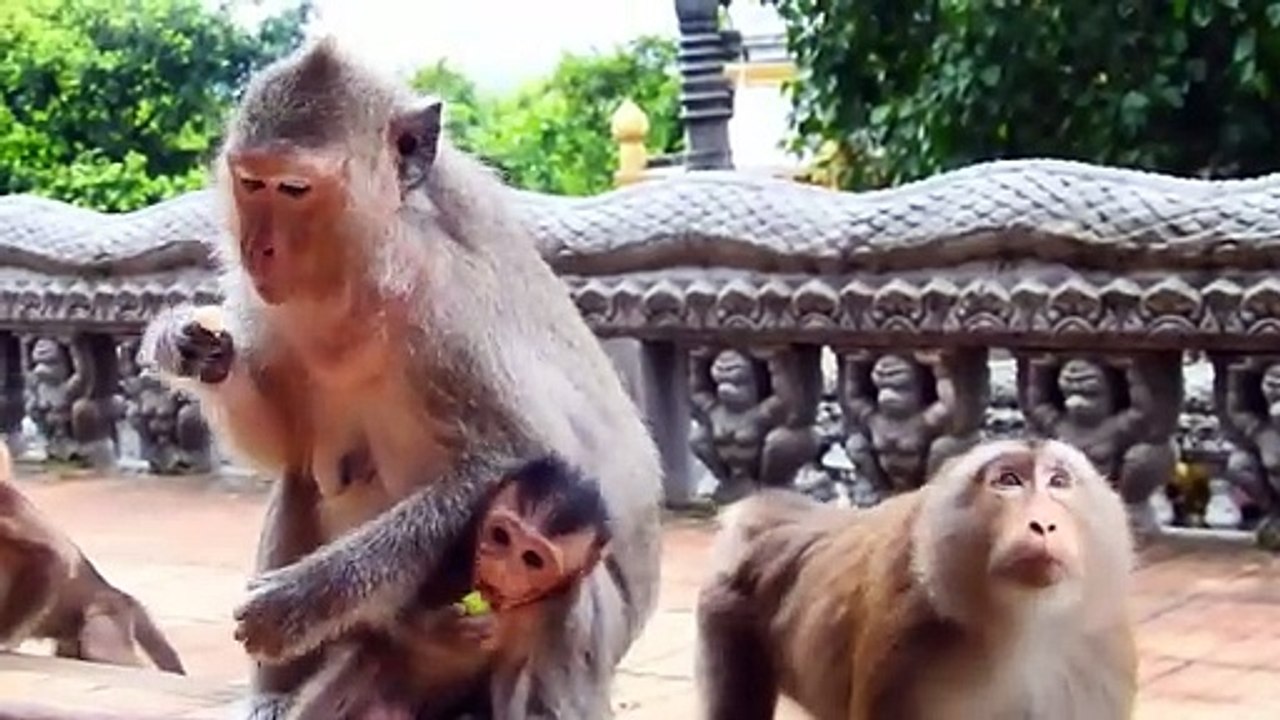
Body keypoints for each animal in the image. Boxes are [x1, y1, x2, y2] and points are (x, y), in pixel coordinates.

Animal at [0, 443, 185, 676]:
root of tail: (121, 595)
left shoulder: (8, 505)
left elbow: (57, 554)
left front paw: (3, 640)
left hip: (108, 610)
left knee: (99, 648)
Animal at [286, 452, 613, 720]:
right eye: (501, 536)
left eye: (533, 559)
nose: (503, 570)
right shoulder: (456, 538)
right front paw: (442, 630)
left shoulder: (564, 620)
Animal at [695, 438, 1138, 720]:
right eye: (1009, 481)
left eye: (1059, 482)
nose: (1043, 523)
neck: (1022, 627)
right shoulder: (905, 652)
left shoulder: (1099, 653)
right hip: (725, 614)